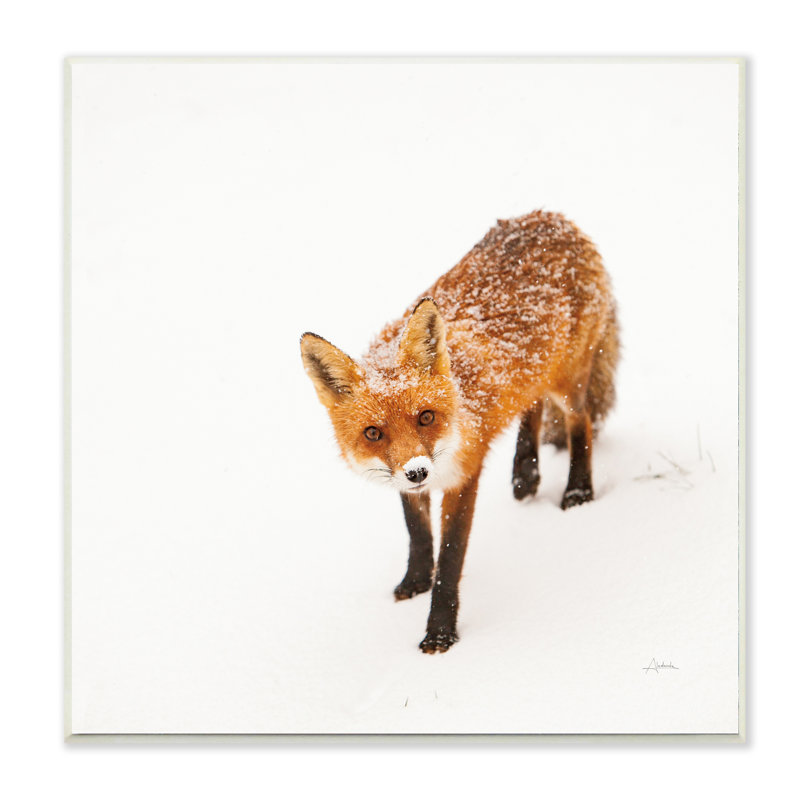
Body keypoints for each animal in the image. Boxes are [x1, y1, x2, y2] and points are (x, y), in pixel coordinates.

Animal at [300, 210, 619, 653]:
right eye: (373, 433)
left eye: (426, 417)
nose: (418, 472)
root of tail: (551, 216)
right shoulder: (406, 481)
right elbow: (418, 534)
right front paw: (415, 581)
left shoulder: (465, 475)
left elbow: (450, 559)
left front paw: (440, 632)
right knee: (532, 405)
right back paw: (525, 474)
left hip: (569, 382)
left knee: (580, 422)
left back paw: (577, 492)